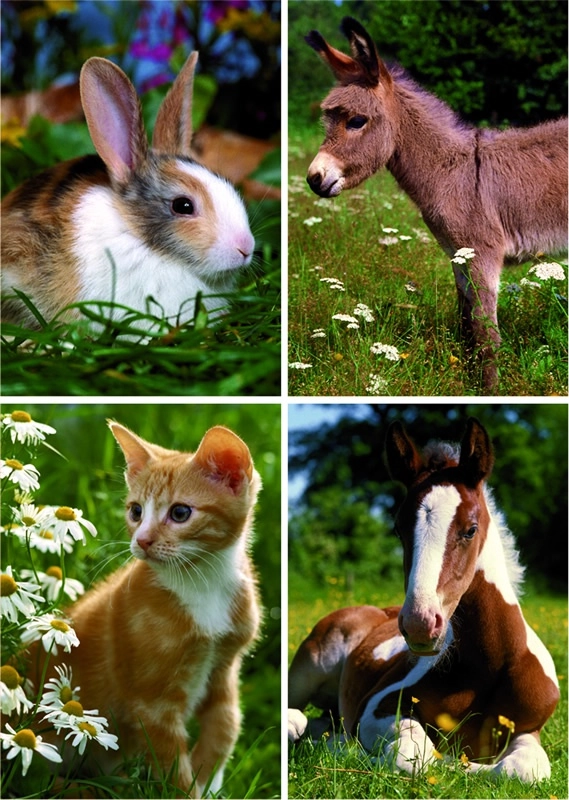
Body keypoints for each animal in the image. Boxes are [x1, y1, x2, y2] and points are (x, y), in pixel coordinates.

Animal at [35, 422, 260, 796]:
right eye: (136, 511)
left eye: (180, 513)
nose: (141, 541)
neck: (202, 581)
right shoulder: (152, 704)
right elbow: (172, 768)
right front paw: (191, 788)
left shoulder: (224, 668)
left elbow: (227, 726)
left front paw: (209, 781)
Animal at [288, 418, 560, 780]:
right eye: (397, 529)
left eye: (470, 529)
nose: (420, 624)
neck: (489, 664)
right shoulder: (378, 706)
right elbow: (416, 755)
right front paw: (346, 749)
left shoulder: (530, 728)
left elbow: (522, 769)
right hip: (308, 670)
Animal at [304, 17, 564, 392]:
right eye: (327, 122)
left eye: (356, 121)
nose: (314, 178)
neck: (453, 170)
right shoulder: (458, 255)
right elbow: (467, 325)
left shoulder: (482, 253)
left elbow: (486, 334)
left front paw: (489, 391)